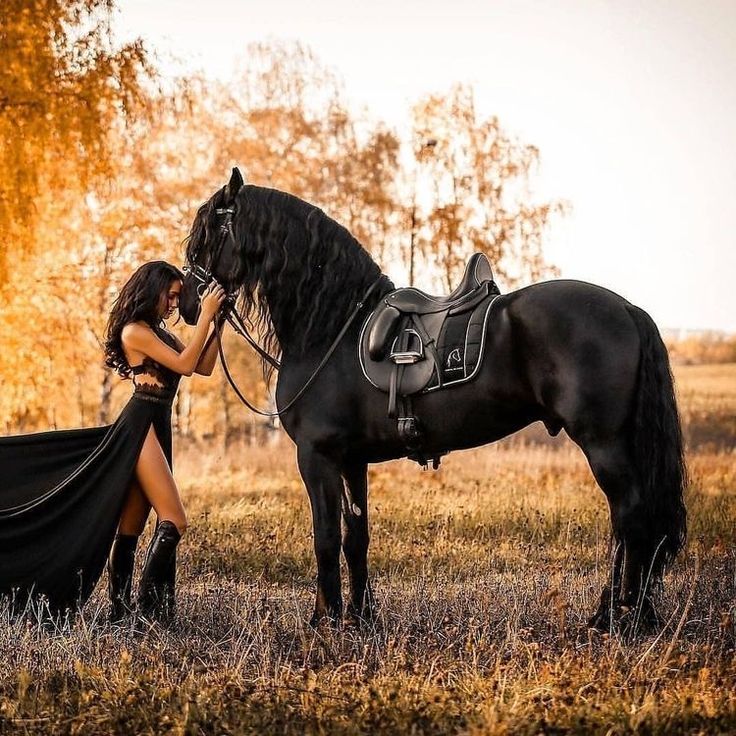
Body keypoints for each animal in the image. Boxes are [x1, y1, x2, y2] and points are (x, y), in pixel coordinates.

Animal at [181, 168, 688, 632]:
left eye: (205, 233)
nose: (187, 303)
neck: (332, 327)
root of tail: (626, 308)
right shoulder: (351, 460)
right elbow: (355, 537)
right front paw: (361, 619)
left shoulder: (317, 456)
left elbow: (324, 537)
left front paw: (323, 620)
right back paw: (631, 613)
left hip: (603, 442)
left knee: (630, 518)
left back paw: (618, 616)